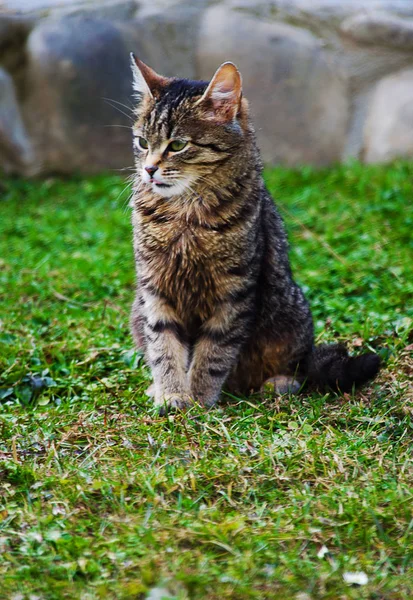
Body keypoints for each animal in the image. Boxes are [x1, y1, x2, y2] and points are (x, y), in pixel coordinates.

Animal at [130, 54, 380, 412]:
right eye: (142, 142)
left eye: (177, 145)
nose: (149, 169)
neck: (185, 214)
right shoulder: (155, 288)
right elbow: (163, 346)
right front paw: (171, 394)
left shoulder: (234, 291)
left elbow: (213, 353)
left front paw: (200, 399)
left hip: (290, 316)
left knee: (299, 367)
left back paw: (278, 383)